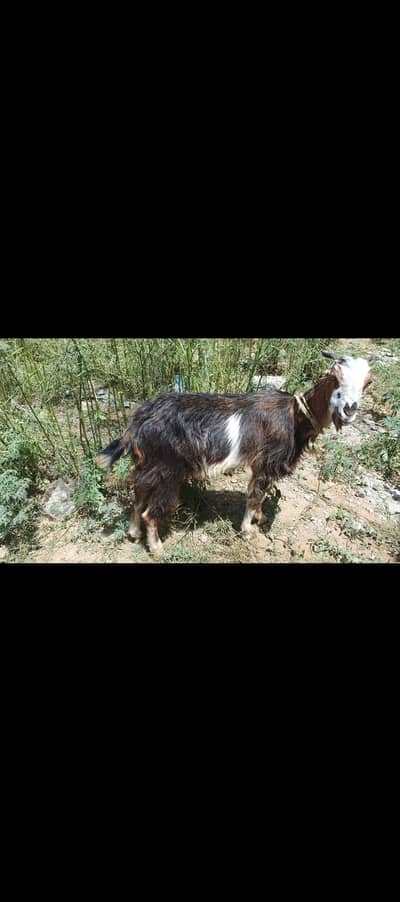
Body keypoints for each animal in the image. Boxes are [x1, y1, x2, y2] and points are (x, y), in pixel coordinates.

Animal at [96, 353, 373, 557]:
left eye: (367, 383)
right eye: (335, 378)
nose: (349, 409)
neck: (295, 416)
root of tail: (138, 421)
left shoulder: (265, 465)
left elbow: (260, 495)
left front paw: (260, 518)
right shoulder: (266, 461)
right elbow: (255, 494)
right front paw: (248, 530)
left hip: (147, 464)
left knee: (138, 495)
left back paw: (134, 533)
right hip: (167, 470)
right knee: (150, 512)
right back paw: (157, 549)